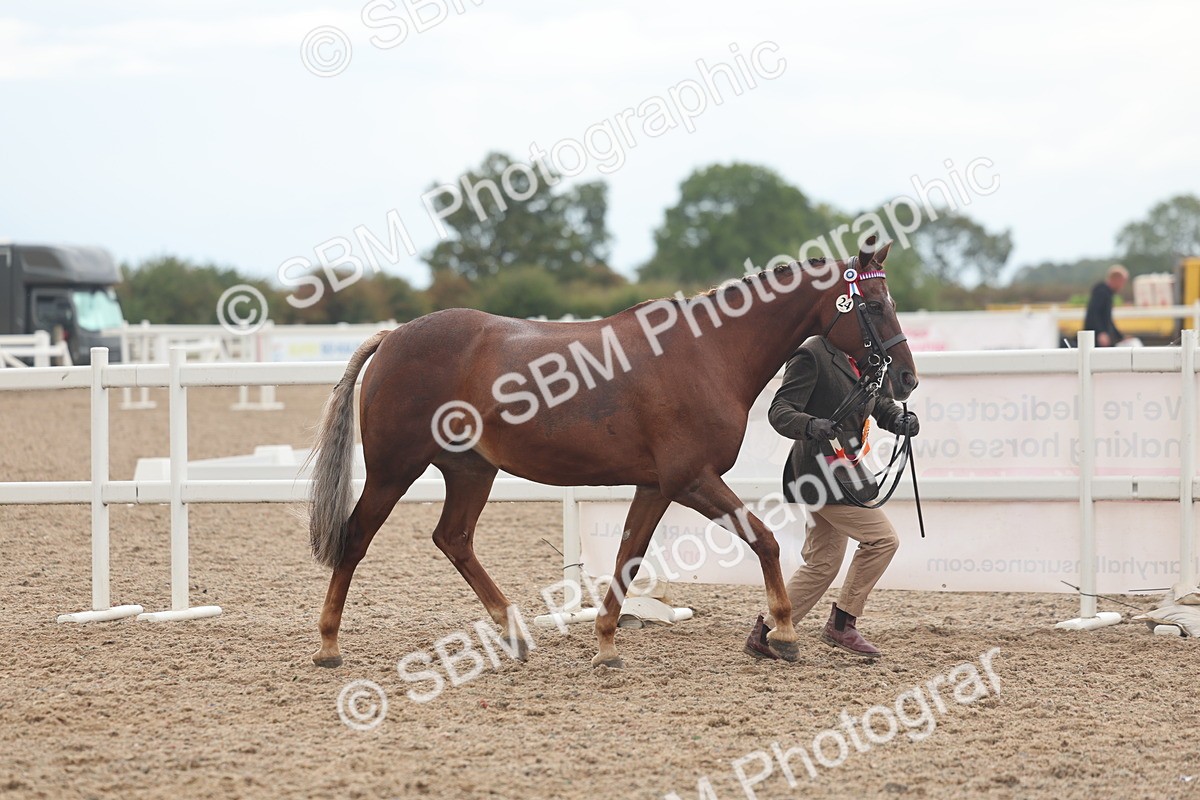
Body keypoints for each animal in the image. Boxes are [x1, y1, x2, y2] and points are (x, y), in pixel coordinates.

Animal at [308, 237, 918, 669]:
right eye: (876, 304)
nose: (906, 379)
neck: (708, 354)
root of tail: (392, 337)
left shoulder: (657, 486)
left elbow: (629, 555)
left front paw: (605, 645)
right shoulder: (692, 480)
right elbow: (764, 541)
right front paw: (786, 633)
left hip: (471, 470)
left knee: (453, 539)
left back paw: (513, 633)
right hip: (394, 470)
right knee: (356, 539)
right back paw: (329, 645)